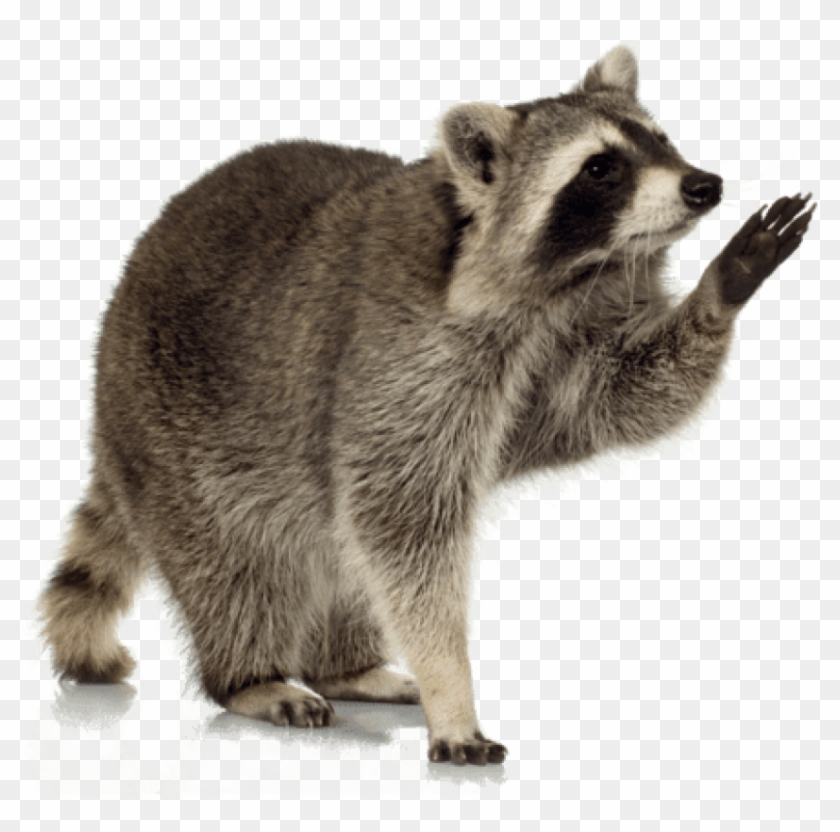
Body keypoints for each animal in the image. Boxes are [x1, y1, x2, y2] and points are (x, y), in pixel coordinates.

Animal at [38, 45, 814, 766]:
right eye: (600, 169)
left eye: (660, 138)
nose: (704, 186)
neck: (563, 283)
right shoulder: (400, 354)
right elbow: (405, 524)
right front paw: (453, 689)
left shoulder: (565, 342)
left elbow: (623, 397)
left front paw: (721, 290)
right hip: (172, 432)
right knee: (237, 563)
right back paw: (250, 676)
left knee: (336, 552)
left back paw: (343, 666)